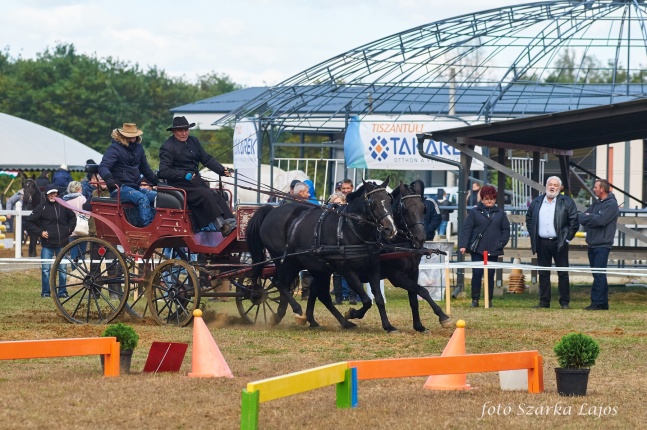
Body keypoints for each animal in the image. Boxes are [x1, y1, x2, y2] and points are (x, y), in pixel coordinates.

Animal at [248, 176, 400, 330]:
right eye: (372, 203)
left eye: (389, 200)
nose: (390, 229)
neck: (351, 229)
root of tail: (272, 211)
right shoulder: (347, 270)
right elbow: (367, 300)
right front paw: (352, 313)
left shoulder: (373, 268)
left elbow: (378, 299)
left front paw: (388, 326)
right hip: (285, 261)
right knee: (281, 283)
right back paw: (297, 310)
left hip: (313, 266)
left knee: (318, 294)